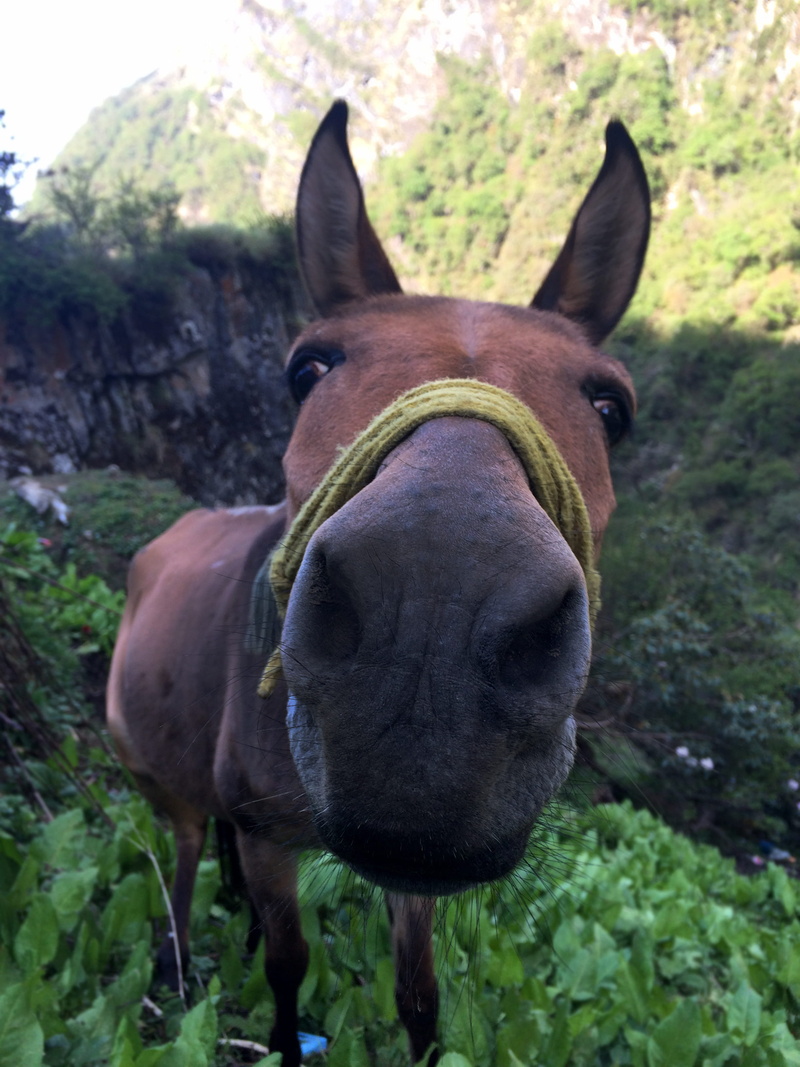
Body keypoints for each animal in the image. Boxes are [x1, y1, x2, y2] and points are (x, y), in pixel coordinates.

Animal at [106, 99, 650, 1065]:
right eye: (308, 368)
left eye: (610, 408)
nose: (431, 622)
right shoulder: (270, 834)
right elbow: (288, 967)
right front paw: (282, 1036)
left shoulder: (413, 863)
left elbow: (420, 996)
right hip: (150, 770)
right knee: (185, 846)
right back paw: (176, 964)